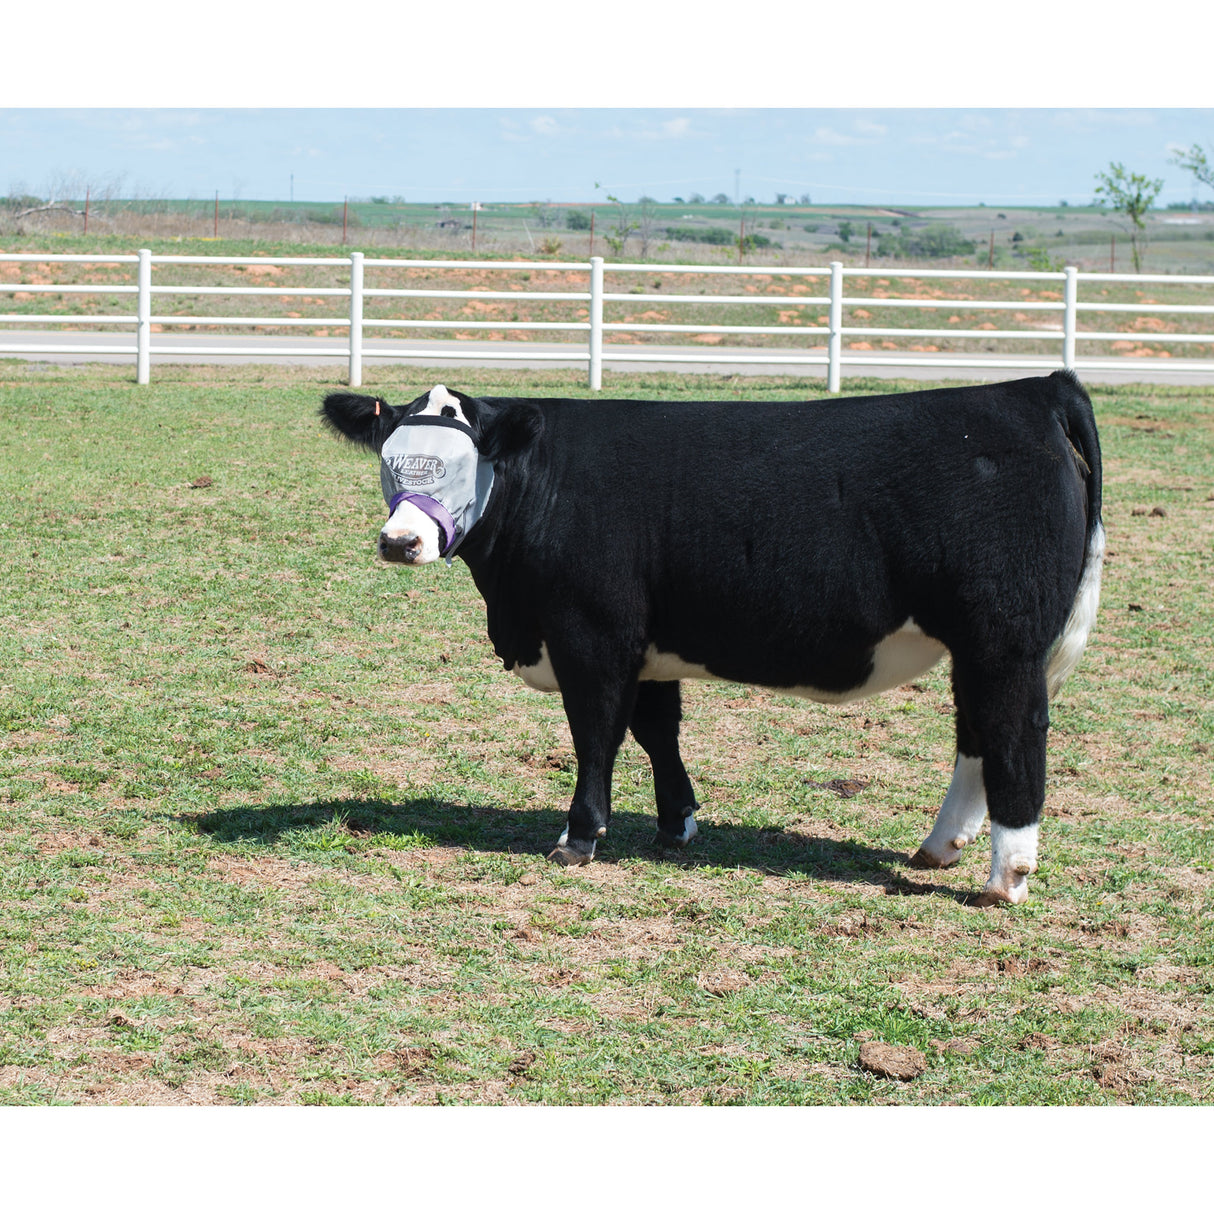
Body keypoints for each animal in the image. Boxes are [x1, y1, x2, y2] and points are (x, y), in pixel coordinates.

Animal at [320, 373, 1102, 908]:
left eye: (460, 464)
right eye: (389, 460)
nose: (401, 542)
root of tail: (1035, 388)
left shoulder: (592, 635)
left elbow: (596, 733)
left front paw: (580, 837)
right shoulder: (648, 644)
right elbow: (656, 729)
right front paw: (677, 823)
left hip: (1005, 639)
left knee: (1013, 733)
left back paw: (1006, 877)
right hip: (979, 646)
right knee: (976, 733)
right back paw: (939, 847)